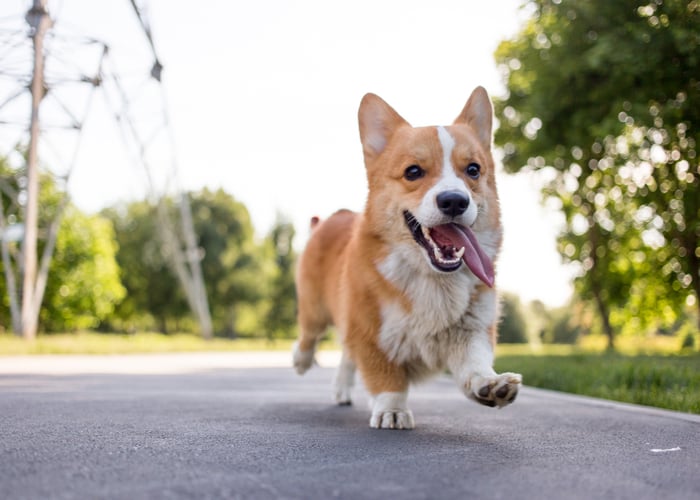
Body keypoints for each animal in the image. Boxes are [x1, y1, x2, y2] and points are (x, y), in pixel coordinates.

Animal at [292, 87, 524, 430]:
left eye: (473, 170)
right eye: (413, 172)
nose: (454, 201)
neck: (433, 278)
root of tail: (338, 215)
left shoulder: (470, 330)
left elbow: (475, 364)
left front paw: (491, 385)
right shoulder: (370, 332)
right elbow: (386, 379)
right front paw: (392, 410)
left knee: (346, 356)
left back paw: (342, 390)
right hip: (315, 308)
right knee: (310, 337)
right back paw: (300, 360)